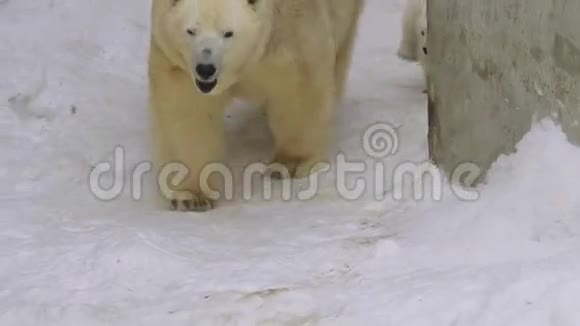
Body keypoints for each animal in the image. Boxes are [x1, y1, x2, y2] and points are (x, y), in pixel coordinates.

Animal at [147, 0, 364, 211]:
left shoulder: (291, 30)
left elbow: (298, 90)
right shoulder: (181, 66)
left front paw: (290, 164)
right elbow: (188, 112)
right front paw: (191, 196)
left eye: (228, 33)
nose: (205, 69)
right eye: (191, 30)